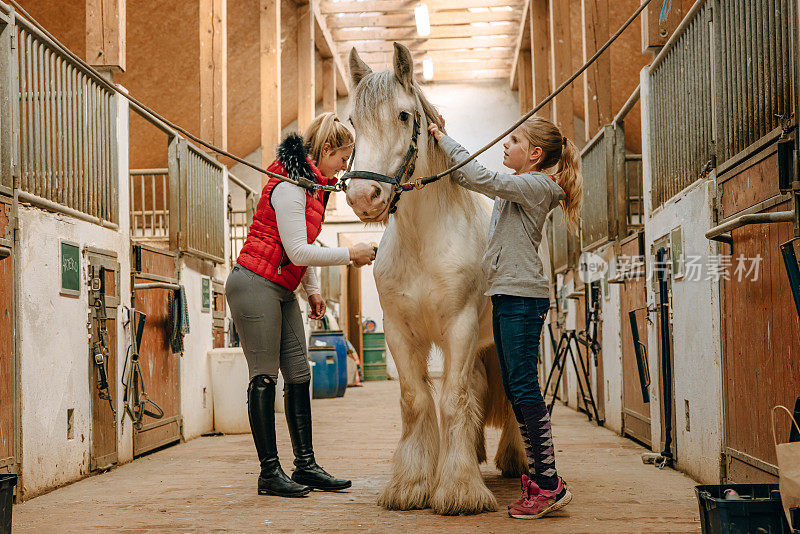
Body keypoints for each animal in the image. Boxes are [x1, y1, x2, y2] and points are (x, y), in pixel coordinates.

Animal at [342, 44, 524, 516]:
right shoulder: (400, 333)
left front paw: (460, 489)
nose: (363, 197)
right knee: (477, 389)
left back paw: (515, 460)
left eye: (404, 115)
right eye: (352, 122)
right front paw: (412, 483)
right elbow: (418, 399)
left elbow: (452, 400)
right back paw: (475, 454)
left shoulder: (459, 328)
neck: (423, 244)